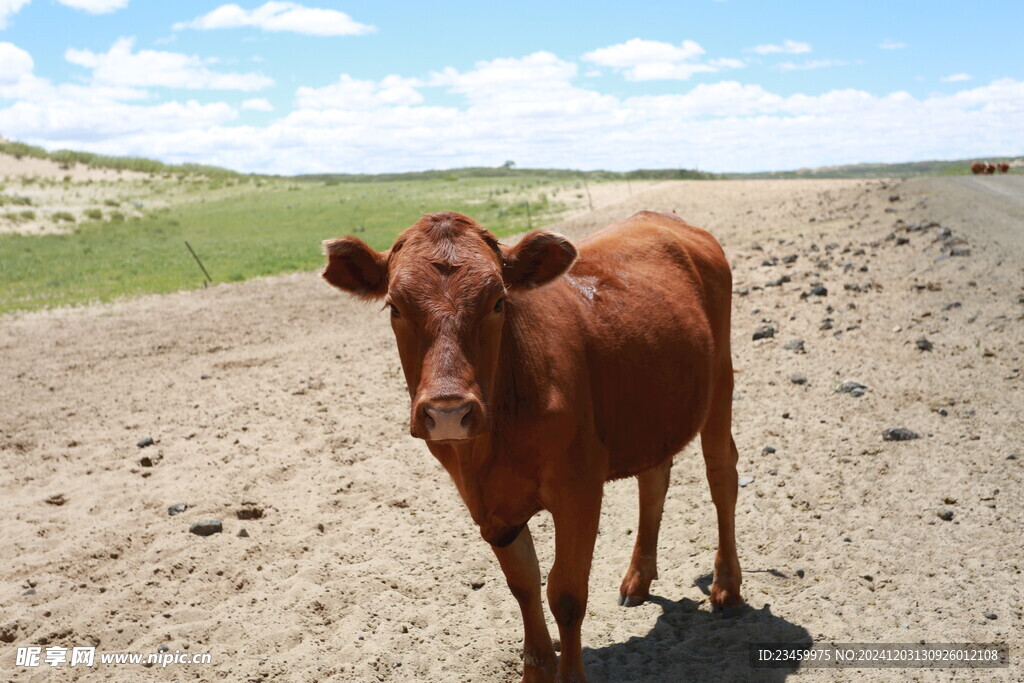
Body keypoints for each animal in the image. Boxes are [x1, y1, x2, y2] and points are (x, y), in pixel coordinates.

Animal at [325, 210, 745, 679]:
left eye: (498, 302)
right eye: (395, 307)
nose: (448, 411)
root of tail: (662, 219)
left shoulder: (579, 489)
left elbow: (566, 592)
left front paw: (571, 674)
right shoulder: (489, 508)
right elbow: (523, 585)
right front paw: (536, 668)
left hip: (720, 381)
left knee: (721, 474)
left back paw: (727, 586)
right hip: (655, 410)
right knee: (654, 479)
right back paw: (637, 578)